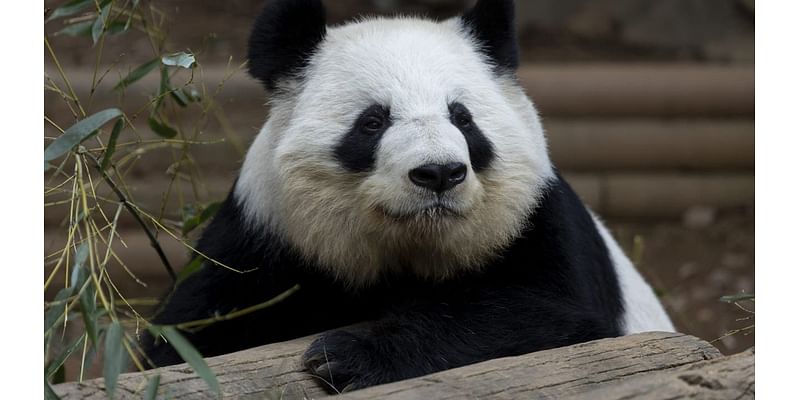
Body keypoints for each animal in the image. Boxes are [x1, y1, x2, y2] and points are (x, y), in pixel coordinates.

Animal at [141, 0, 672, 390]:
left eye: (462, 118)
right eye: (373, 121)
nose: (439, 173)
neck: (411, 245)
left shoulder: (534, 220)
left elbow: (549, 319)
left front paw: (347, 356)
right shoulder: (264, 235)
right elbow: (184, 336)